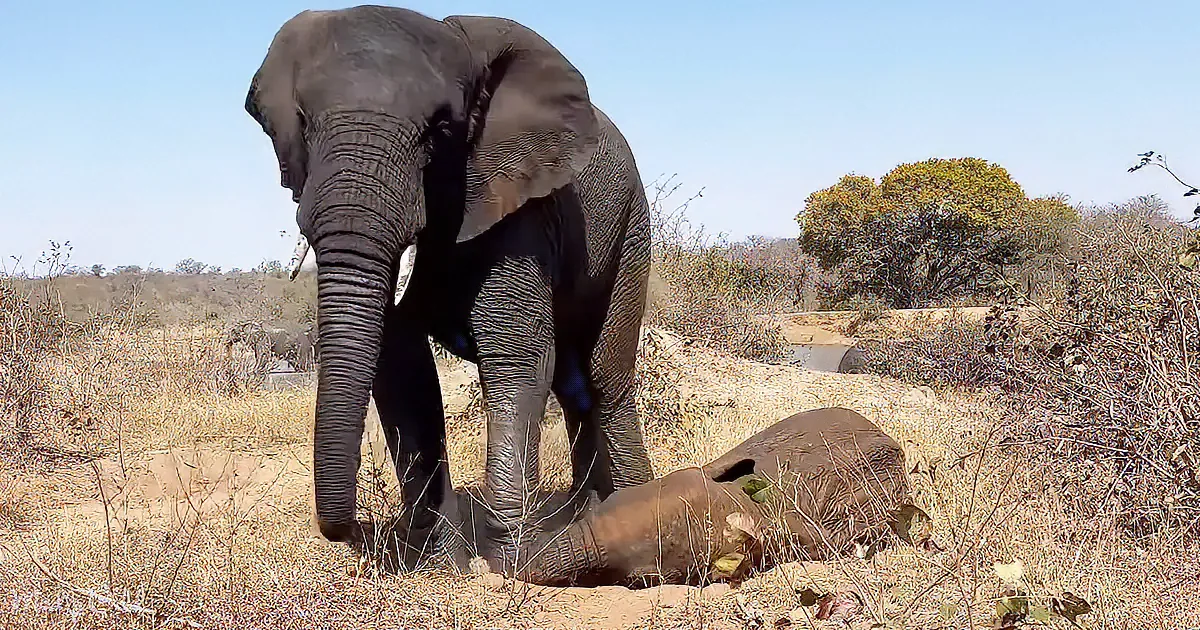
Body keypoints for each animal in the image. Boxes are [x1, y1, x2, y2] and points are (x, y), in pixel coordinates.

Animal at [244, 6, 655, 565]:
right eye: (303, 124)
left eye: (439, 130)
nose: (354, 533)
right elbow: (400, 364)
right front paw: (429, 553)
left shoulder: (516, 195)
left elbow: (514, 353)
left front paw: (506, 560)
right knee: (573, 381)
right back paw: (584, 513)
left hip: (630, 225)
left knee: (604, 375)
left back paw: (628, 505)